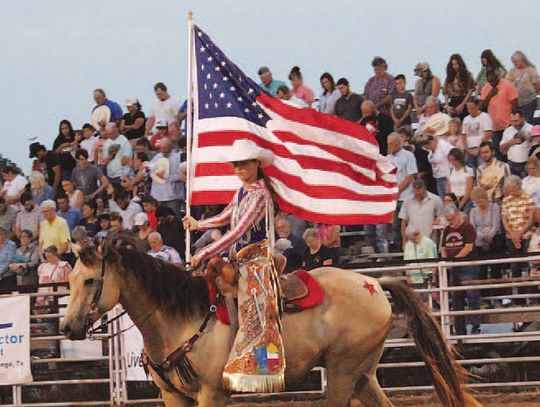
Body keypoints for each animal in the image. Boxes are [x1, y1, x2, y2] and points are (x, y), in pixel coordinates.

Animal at [60, 239, 480, 407]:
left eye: (91, 280)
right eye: (70, 280)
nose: (67, 329)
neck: (180, 316)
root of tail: (375, 283)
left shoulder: (212, 393)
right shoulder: (173, 395)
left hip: (343, 371)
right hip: (363, 373)